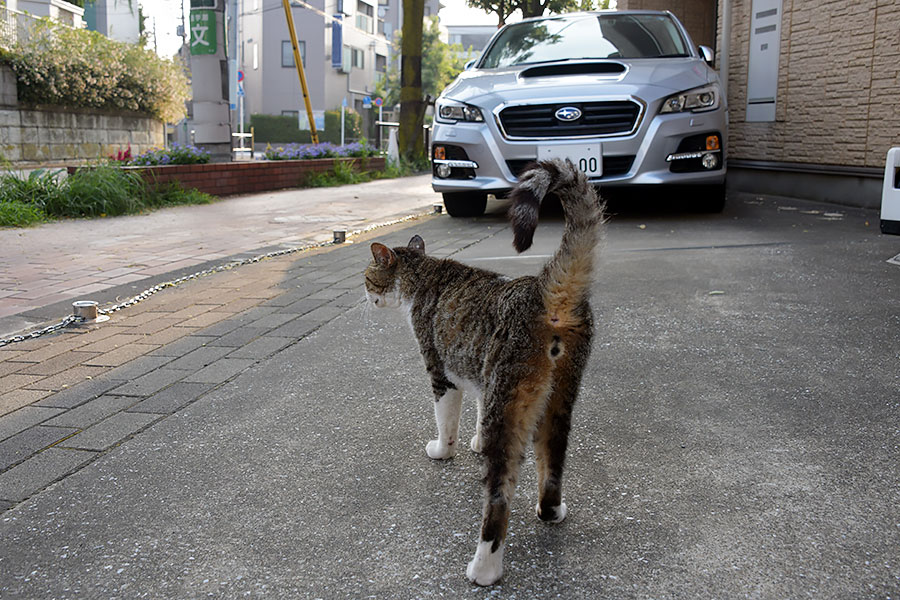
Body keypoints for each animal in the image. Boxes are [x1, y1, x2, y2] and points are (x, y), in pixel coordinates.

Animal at [366, 159, 604, 584]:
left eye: (367, 276)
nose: (364, 294)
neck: (422, 273)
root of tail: (544, 290)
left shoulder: (441, 373)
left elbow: (447, 421)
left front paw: (443, 450)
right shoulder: (480, 374)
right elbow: (477, 410)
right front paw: (475, 441)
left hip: (508, 403)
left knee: (499, 493)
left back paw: (484, 567)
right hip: (557, 398)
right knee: (552, 460)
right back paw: (550, 511)